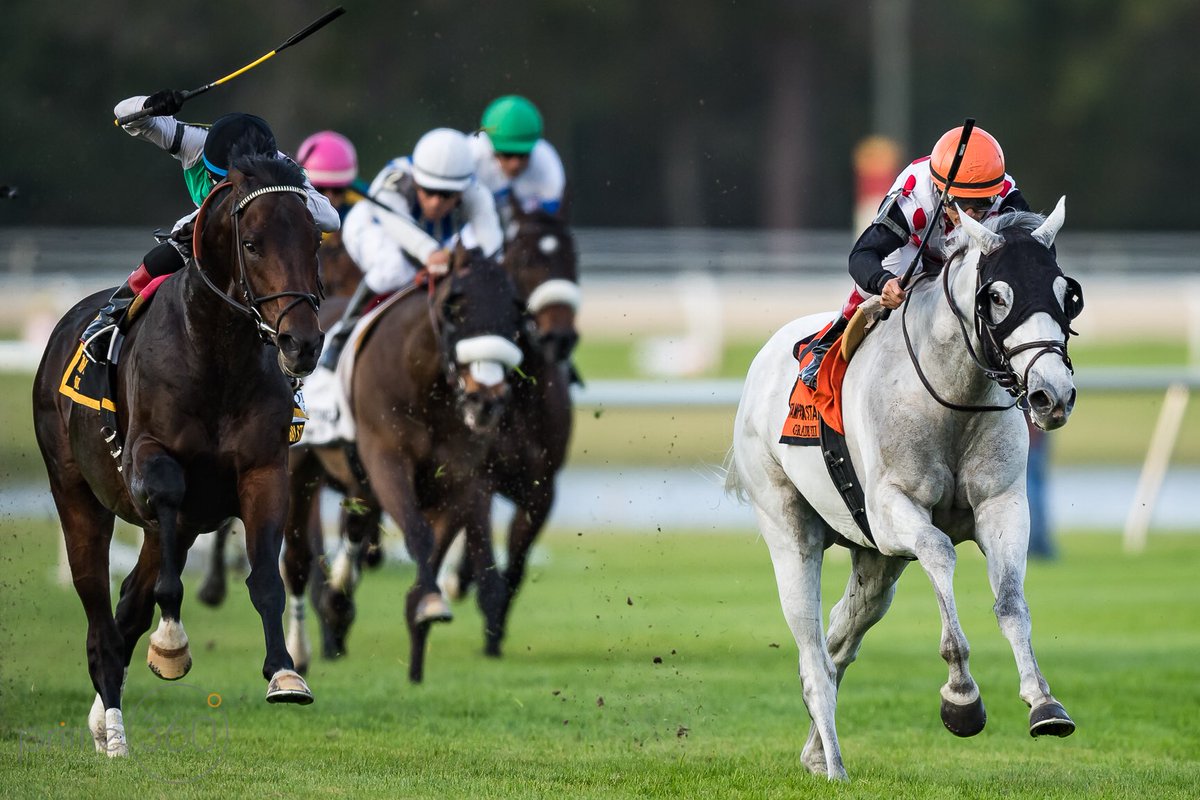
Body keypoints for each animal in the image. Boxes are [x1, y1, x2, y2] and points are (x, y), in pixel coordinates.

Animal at [32, 153, 325, 757]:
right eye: (253, 243)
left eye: (315, 241)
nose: (301, 343)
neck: (216, 355)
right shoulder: (149, 458)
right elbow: (166, 528)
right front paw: (170, 643)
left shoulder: (264, 470)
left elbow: (265, 577)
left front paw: (285, 673)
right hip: (75, 495)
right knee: (100, 616)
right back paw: (115, 731)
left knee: (126, 606)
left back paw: (104, 716)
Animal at [280, 244, 525, 683]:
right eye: (452, 306)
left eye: (515, 311)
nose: (486, 400)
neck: (425, 381)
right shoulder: (387, 461)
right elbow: (419, 534)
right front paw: (428, 604)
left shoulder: (459, 475)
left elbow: (435, 544)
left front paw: (420, 619)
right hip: (300, 468)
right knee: (296, 561)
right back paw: (299, 650)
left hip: (358, 483)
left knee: (354, 529)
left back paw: (338, 599)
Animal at [445, 206, 580, 656]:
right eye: (523, 259)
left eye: (572, 257)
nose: (559, 337)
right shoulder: (479, 478)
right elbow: (483, 551)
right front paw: (488, 623)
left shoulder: (541, 488)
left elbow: (516, 564)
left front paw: (497, 625)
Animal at [726, 199, 1082, 781]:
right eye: (997, 296)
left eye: (1065, 293)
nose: (1052, 394)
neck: (952, 397)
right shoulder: (894, 510)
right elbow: (939, 552)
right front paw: (961, 696)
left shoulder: (1003, 504)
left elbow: (1010, 600)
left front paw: (1044, 703)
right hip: (788, 528)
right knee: (811, 652)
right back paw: (835, 764)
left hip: (876, 564)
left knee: (840, 639)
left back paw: (815, 752)